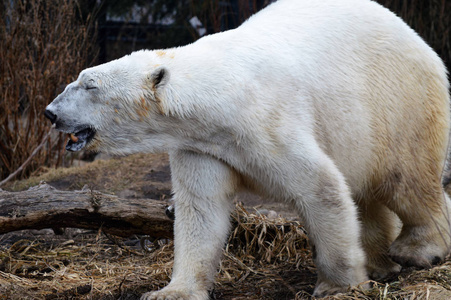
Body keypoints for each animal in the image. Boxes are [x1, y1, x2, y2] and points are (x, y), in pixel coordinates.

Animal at [43, 0, 451, 298]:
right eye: (79, 79)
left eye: (89, 84)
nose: (50, 112)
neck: (219, 96)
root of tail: (417, 38)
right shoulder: (201, 145)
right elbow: (201, 210)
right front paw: (172, 291)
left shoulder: (267, 121)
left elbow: (321, 188)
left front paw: (338, 286)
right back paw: (380, 261)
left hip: (398, 102)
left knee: (407, 178)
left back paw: (417, 249)